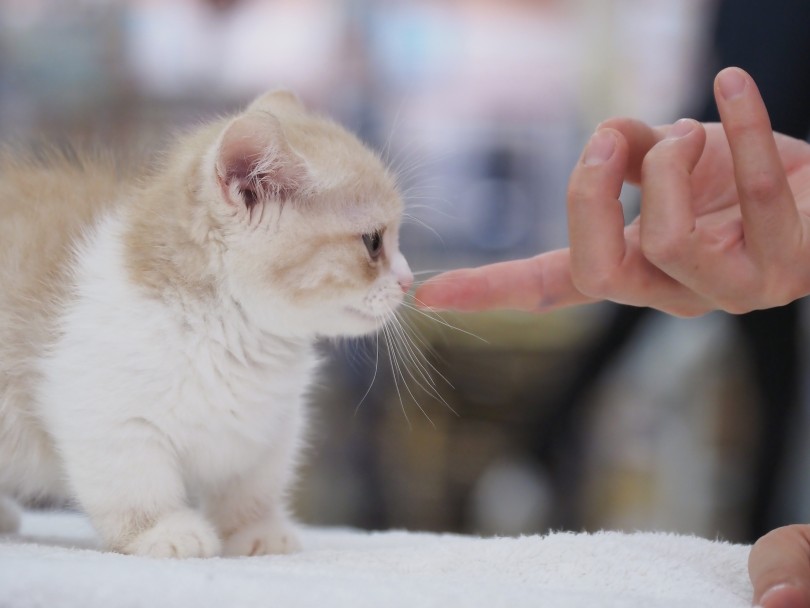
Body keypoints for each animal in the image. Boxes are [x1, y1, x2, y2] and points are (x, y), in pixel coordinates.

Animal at [0, 89, 414, 556]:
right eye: (373, 242)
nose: (408, 280)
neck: (230, 333)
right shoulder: (106, 415)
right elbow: (134, 485)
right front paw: (163, 530)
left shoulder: (268, 429)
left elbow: (250, 489)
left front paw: (257, 531)